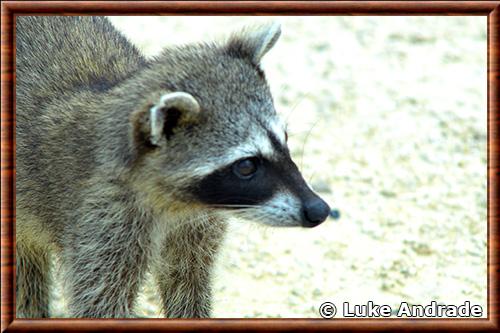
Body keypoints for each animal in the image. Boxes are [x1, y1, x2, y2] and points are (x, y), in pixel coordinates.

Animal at [15, 16, 330, 318]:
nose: (319, 209)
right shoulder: (101, 220)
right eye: (246, 166)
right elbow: (100, 302)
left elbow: (188, 283)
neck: (178, 204)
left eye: (284, 140)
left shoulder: (195, 223)